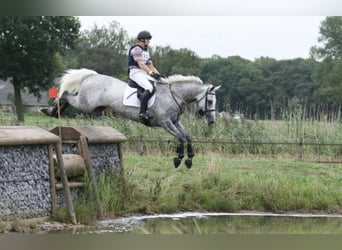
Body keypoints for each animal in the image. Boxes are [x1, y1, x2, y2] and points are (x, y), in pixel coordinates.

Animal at [41, 68, 220, 168]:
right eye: (210, 101)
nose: (212, 121)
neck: (174, 95)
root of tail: (93, 76)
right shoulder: (165, 123)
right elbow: (181, 138)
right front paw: (179, 158)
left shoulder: (176, 122)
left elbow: (187, 136)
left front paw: (189, 158)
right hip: (86, 104)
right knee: (65, 94)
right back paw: (51, 109)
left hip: (94, 107)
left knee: (68, 96)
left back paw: (53, 111)